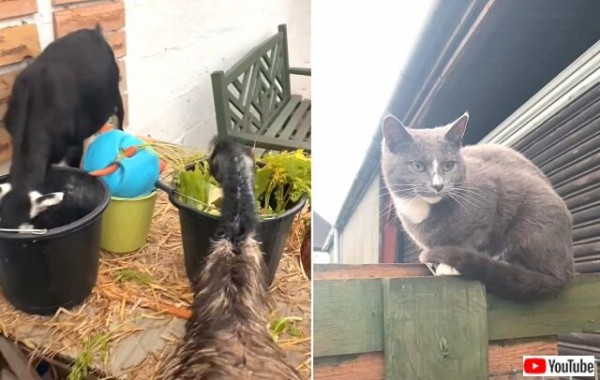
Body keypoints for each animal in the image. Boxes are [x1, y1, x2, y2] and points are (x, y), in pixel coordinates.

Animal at [382, 111, 576, 302]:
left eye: (448, 165)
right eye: (417, 165)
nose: (438, 185)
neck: (422, 210)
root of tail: (567, 270)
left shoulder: (490, 202)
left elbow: (474, 240)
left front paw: (448, 265)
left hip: (537, 217)